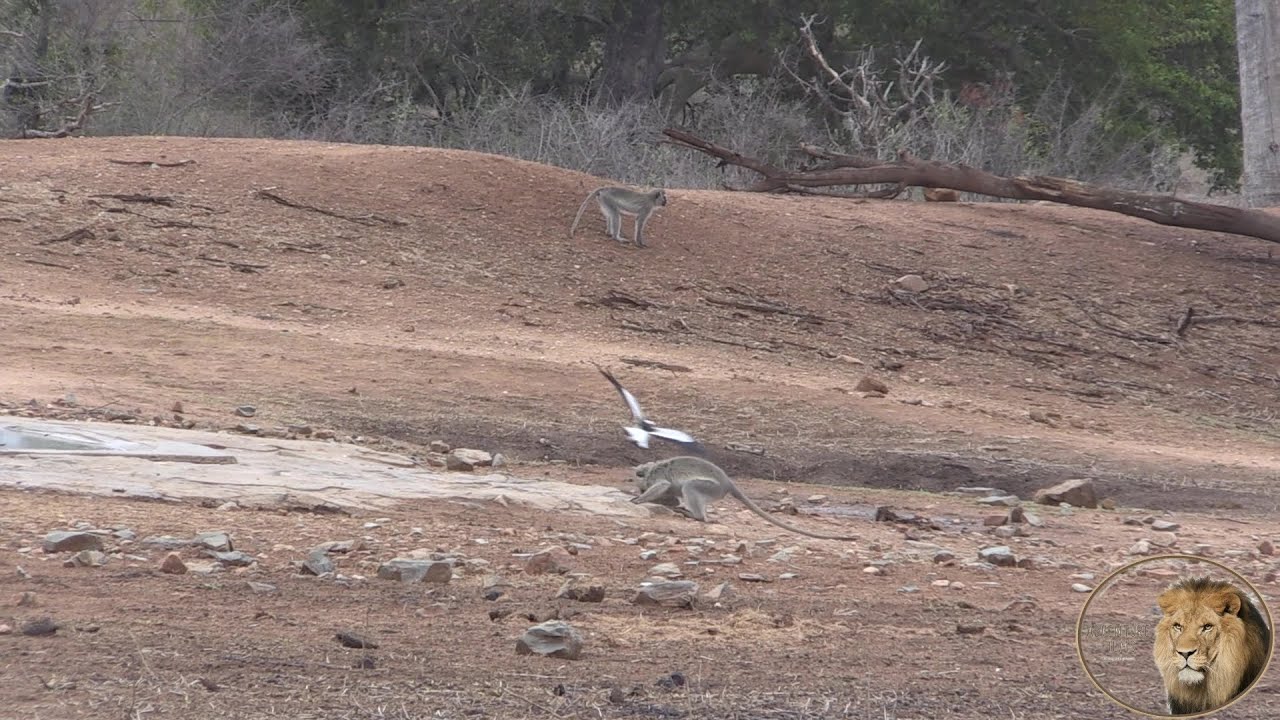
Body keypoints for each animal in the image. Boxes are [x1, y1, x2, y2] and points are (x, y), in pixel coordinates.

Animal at [631, 456, 859, 541]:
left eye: (642, 485)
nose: (640, 488)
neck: (652, 468)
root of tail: (728, 483)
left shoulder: (658, 478)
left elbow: (663, 486)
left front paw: (638, 500)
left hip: (711, 488)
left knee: (690, 487)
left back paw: (696, 516)